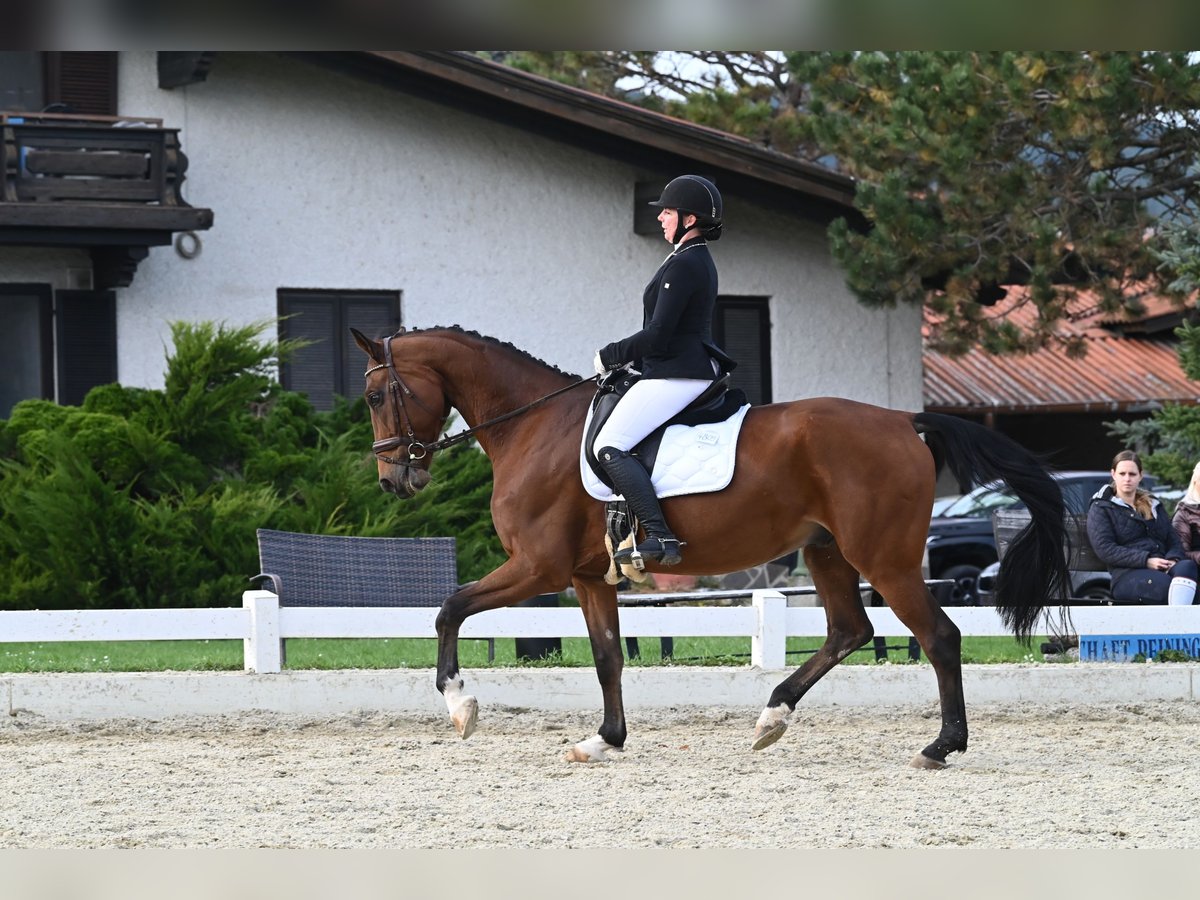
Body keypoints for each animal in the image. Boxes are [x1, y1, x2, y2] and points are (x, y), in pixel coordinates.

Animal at [350, 324, 1070, 768]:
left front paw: (461, 706)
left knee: (939, 636)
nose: (392, 479)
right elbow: (608, 659)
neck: (535, 427)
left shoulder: (537, 567)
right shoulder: (586, 576)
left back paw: (940, 746)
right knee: (849, 629)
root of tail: (903, 420)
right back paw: (772, 718)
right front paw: (604, 741)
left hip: (883, 558)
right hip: (827, 551)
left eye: (378, 393)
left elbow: (450, 607)